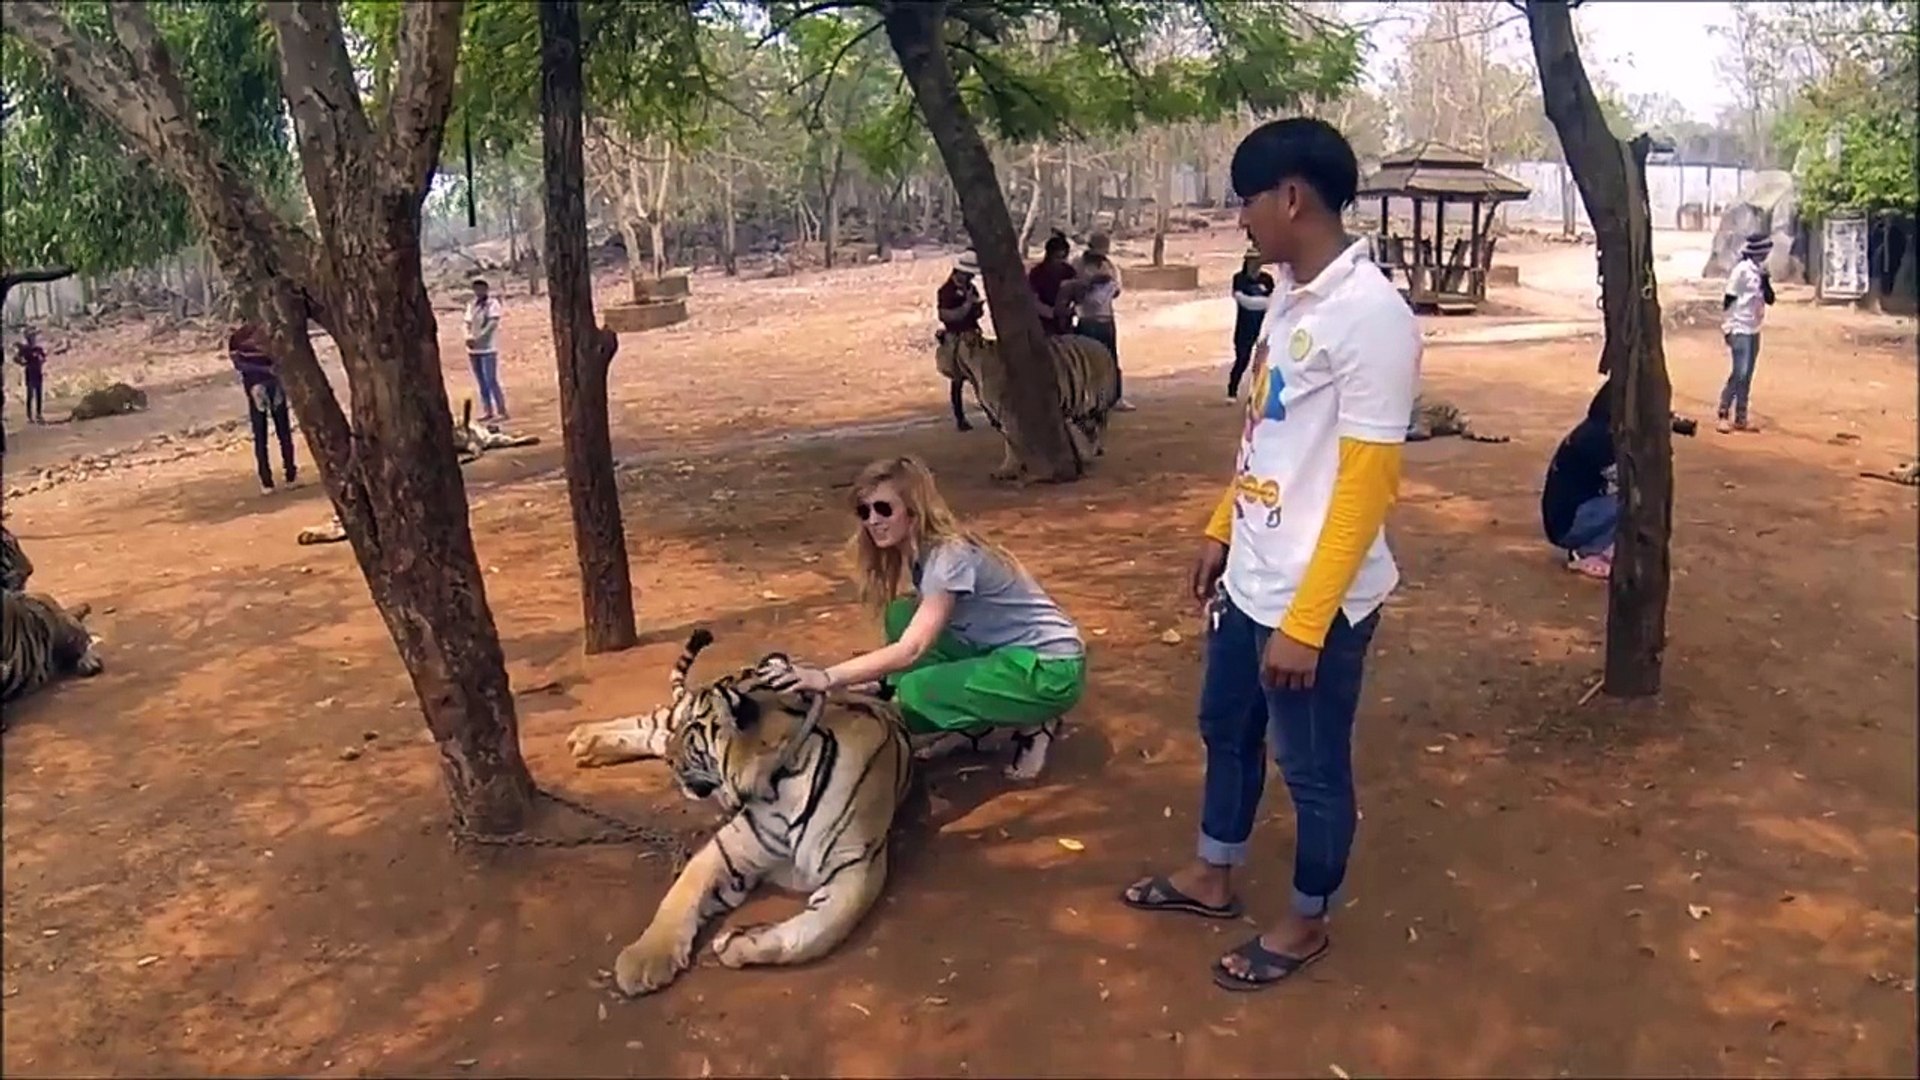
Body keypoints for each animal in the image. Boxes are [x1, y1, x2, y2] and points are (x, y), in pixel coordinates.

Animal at [568, 626, 913, 999]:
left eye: (692, 731)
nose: (673, 761)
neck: (781, 777)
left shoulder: (856, 867)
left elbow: (816, 933)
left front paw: (738, 944)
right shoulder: (730, 848)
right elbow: (679, 896)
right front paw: (644, 960)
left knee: (656, 732)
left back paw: (590, 747)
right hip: (669, 716)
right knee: (656, 719)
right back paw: (584, 739)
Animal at [933, 328, 1121, 478]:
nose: (937, 365)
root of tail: (1103, 346)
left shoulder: (1006, 411)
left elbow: (1012, 443)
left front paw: (1008, 470)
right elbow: (1012, 441)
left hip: (1092, 402)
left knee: (1100, 425)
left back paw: (1094, 452)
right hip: (1078, 407)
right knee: (1090, 430)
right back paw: (1085, 456)